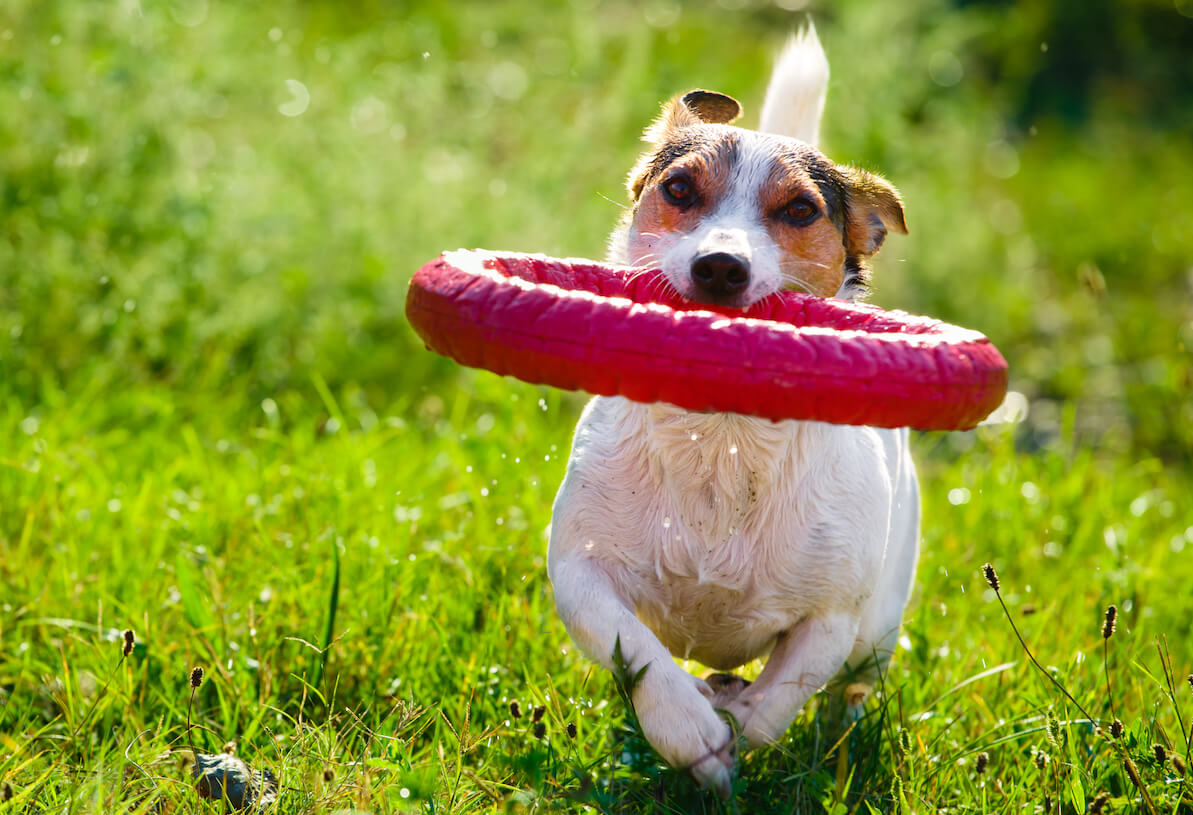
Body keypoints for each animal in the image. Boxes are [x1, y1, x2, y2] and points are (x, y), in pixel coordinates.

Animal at [546, 25, 916, 797]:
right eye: (679, 189)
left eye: (801, 210)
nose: (720, 266)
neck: (721, 437)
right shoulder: (579, 572)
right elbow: (635, 648)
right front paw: (688, 729)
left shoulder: (832, 617)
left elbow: (783, 694)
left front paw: (739, 730)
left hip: (878, 628)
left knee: (851, 688)